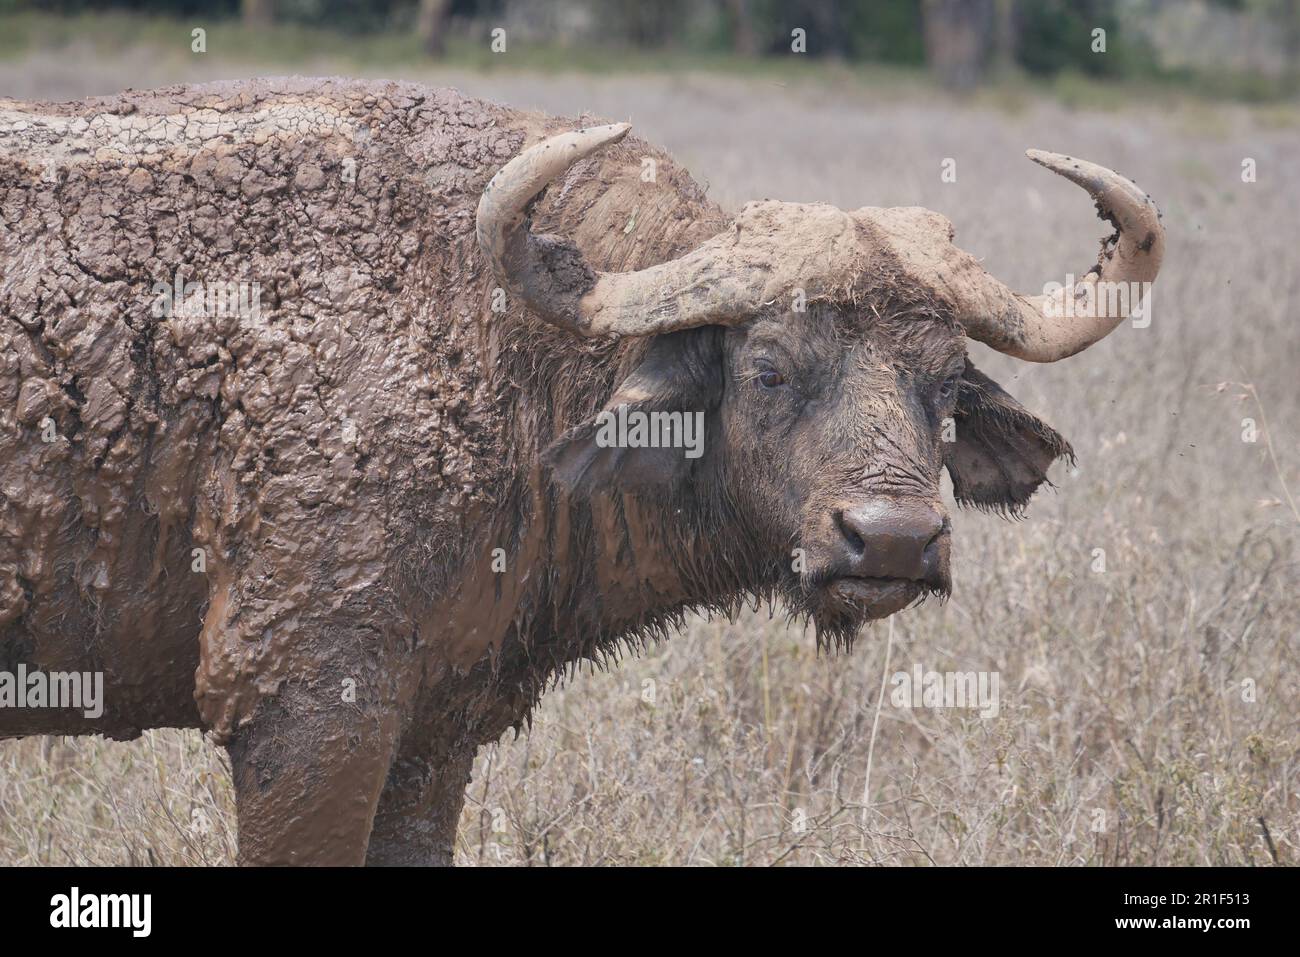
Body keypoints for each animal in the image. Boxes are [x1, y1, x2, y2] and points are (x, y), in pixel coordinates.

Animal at [0, 78, 1164, 863]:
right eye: (768, 369)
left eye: (946, 385)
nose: (890, 538)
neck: (484, 340)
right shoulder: (306, 711)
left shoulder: (435, 732)